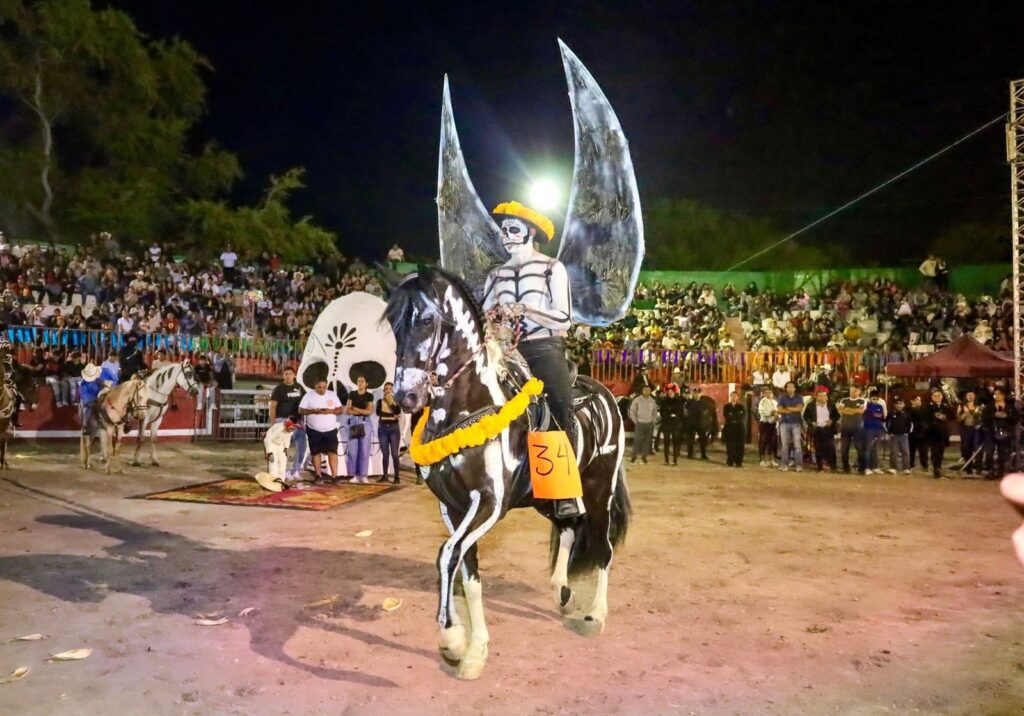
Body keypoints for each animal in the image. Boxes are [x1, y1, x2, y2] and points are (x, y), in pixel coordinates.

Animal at [383, 267, 630, 681]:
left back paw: (596, 614)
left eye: (427, 320)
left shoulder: (489, 503)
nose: (405, 396)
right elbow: (467, 571)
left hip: (599, 491)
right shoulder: (453, 507)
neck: (469, 405)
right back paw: (561, 590)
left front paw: (452, 638)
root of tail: (606, 395)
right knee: (568, 527)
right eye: (392, 323)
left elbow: (447, 555)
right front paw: (474, 651)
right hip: (549, 497)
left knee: (603, 547)